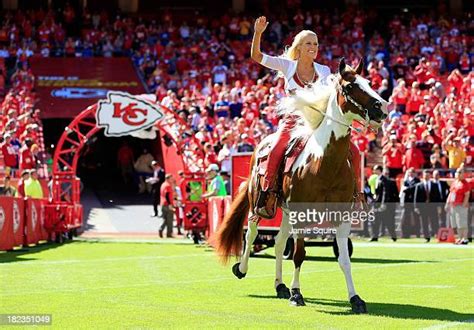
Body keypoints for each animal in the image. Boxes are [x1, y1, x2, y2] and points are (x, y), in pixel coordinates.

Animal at [215, 58, 386, 314]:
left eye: (369, 83)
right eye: (350, 86)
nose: (382, 107)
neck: (324, 162)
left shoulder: (342, 217)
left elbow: (344, 259)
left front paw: (356, 298)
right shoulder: (300, 215)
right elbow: (299, 255)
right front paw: (297, 294)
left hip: (286, 212)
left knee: (278, 243)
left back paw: (280, 286)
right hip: (259, 204)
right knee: (252, 233)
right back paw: (242, 268)